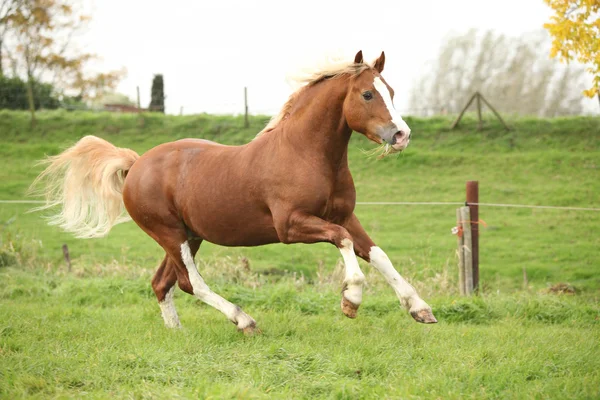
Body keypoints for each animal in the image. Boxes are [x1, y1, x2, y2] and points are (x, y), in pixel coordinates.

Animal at [30, 50, 436, 334]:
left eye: (391, 91)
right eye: (367, 94)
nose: (402, 135)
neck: (306, 154)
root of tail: (136, 164)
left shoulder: (344, 215)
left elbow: (378, 254)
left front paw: (419, 308)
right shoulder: (291, 226)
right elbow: (343, 242)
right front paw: (351, 300)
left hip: (188, 235)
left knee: (163, 283)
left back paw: (178, 333)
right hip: (169, 233)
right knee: (189, 282)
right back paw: (244, 320)